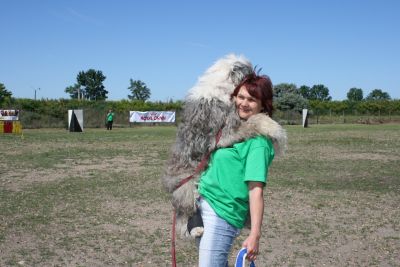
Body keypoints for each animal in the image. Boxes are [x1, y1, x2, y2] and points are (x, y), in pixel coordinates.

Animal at [161, 54, 252, 239]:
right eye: (249, 73)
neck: (221, 85)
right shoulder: (222, 134)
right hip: (187, 184)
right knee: (188, 209)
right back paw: (195, 229)